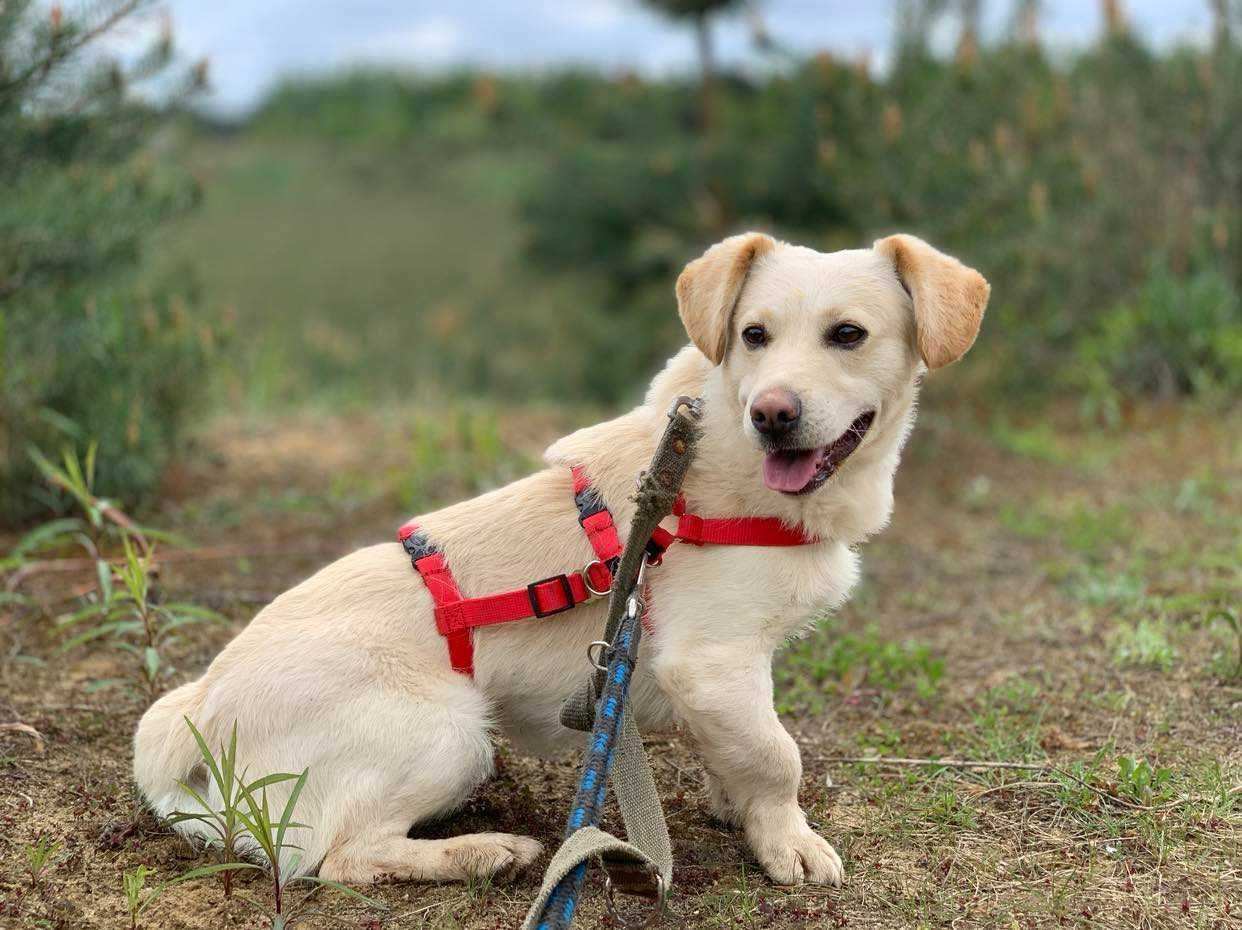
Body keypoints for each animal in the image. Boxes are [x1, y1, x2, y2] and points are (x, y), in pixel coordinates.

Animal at [133, 230, 988, 884]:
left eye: (848, 335)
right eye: (755, 335)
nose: (771, 414)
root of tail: (197, 709)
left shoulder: (728, 676)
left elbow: (741, 748)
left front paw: (735, 803)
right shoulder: (709, 660)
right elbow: (778, 756)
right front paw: (787, 841)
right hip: (453, 734)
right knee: (338, 859)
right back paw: (485, 852)